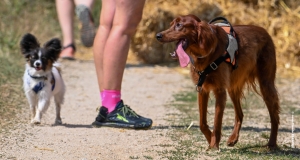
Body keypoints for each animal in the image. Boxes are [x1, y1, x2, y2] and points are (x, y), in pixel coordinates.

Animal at [156, 15, 280, 150]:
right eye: (171, 24)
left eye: (179, 25)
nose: (158, 35)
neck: (205, 51)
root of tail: (265, 31)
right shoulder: (202, 89)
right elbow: (202, 123)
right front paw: (210, 139)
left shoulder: (220, 91)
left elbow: (216, 122)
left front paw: (214, 144)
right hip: (232, 88)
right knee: (240, 114)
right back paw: (233, 138)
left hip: (266, 84)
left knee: (274, 116)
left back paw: (271, 143)